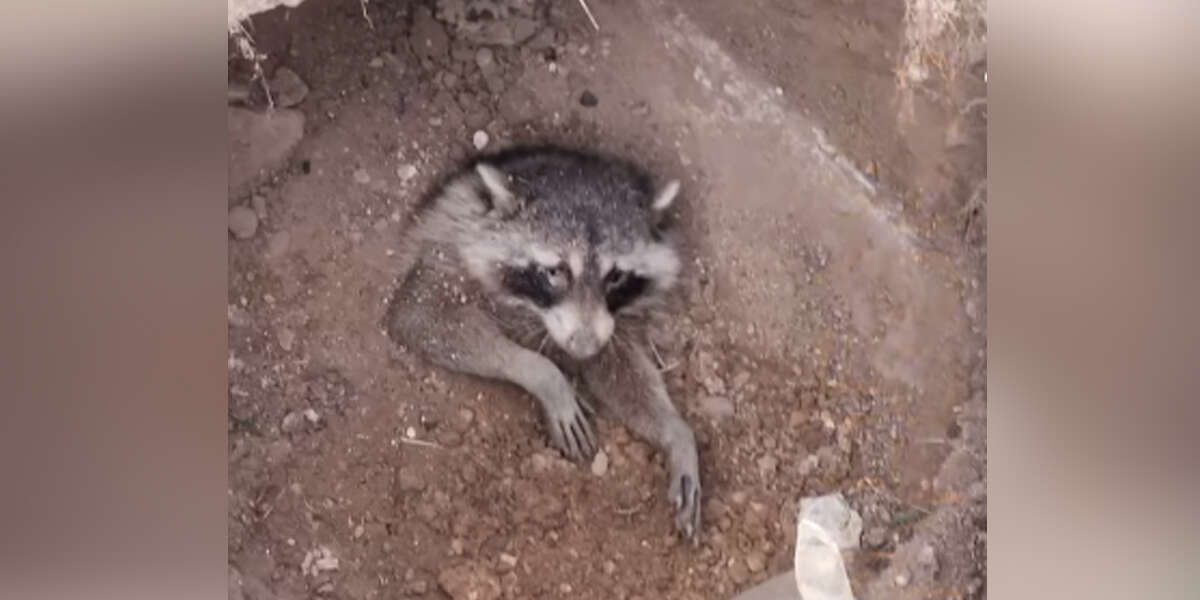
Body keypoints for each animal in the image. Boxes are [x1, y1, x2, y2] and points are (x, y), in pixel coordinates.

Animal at [386, 145, 701, 538]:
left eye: (615, 277)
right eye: (554, 271)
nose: (584, 345)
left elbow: (616, 369)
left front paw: (676, 431)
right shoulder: (446, 250)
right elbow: (421, 314)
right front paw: (543, 374)